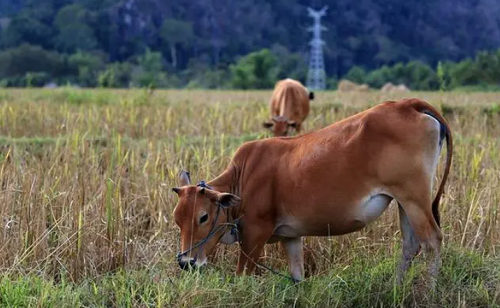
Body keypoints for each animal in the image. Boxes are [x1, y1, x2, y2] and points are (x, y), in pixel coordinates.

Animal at [173, 98, 454, 286]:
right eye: (177, 220)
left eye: (203, 217)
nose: (186, 262)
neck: (242, 176)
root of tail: (408, 104)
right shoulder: (291, 237)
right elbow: (298, 277)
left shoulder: (254, 234)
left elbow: (243, 274)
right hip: (404, 201)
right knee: (410, 245)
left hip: (414, 198)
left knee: (432, 242)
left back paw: (428, 290)